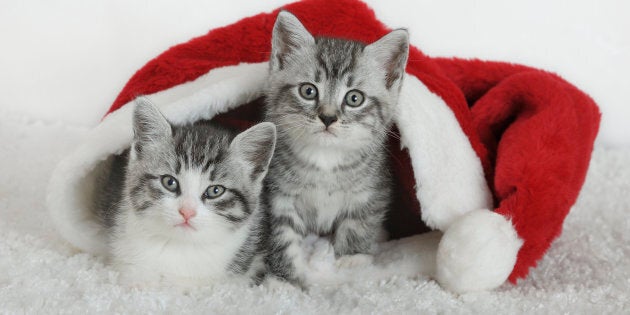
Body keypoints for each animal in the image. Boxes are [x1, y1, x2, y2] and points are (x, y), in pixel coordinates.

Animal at [262, 11, 410, 286]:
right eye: (308, 91)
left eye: (354, 98)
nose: (328, 117)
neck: (325, 159)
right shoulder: (277, 196)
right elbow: (281, 236)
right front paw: (284, 279)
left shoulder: (373, 191)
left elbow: (359, 223)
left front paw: (351, 259)